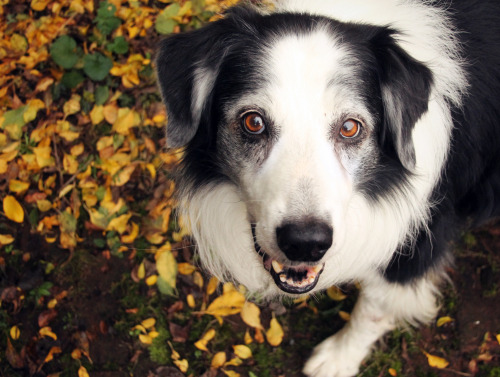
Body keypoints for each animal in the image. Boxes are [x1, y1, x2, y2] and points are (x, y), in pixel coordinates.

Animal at [155, 1, 500, 374]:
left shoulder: (422, 242)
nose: (305, 243)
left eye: (350, 127)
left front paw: (340, 357)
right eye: (253, 122)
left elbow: (374, 307)